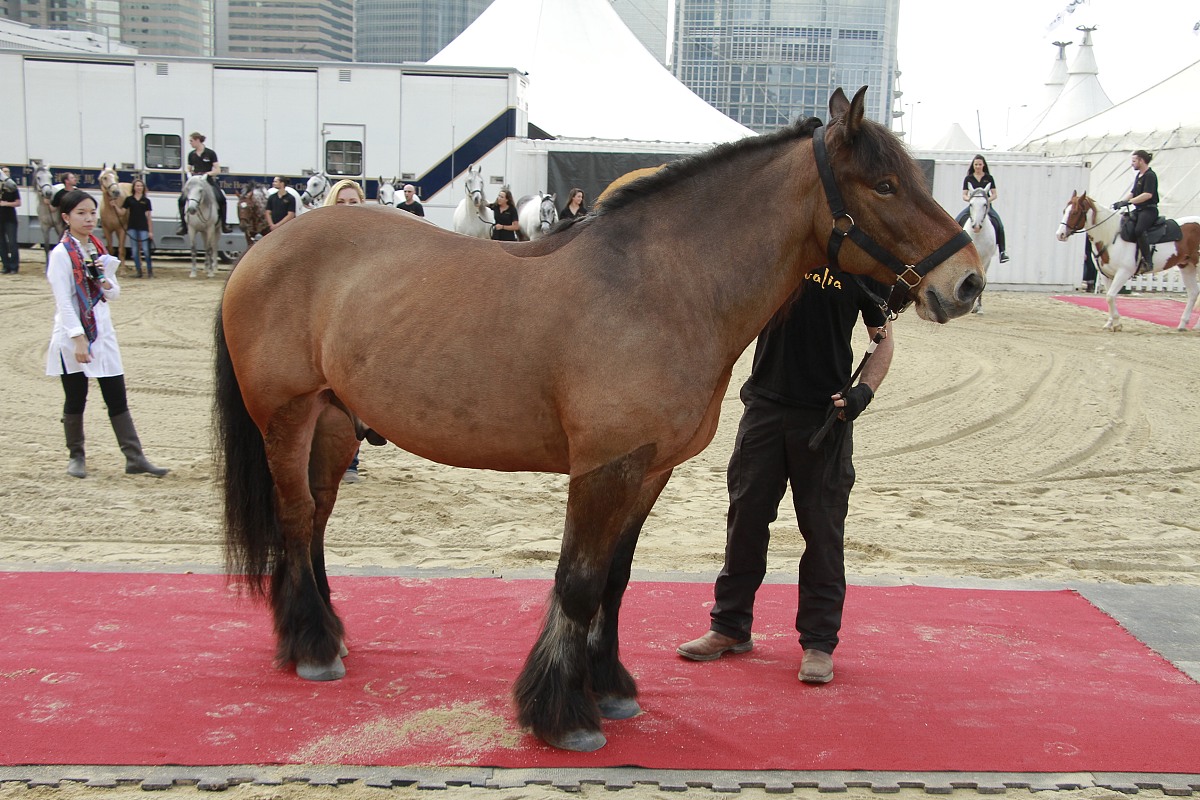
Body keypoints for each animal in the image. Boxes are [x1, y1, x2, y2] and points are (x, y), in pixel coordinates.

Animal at [213, 87, 984, 753]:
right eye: (883, 186)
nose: (969, 281)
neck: (661, 287)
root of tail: (264, 248)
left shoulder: (649, 469)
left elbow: (614, 577)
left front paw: (609, 687)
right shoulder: (604, 468)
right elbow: (579, 581)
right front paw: (563, 715)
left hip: (335, 422)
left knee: (316, 517)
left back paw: (326, 630)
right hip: (287, 417)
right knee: (295, 515)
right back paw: (312, 647)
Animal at [1055, 191, 1200, 331]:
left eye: (1074, 212)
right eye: (1064, 211)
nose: (1059, 235)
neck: (1110, 236)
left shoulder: (1124, 272)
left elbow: (1110, 296)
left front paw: (1117, 324)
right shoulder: (1105, 275)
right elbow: (1109, 297)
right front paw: (1110, 323)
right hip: (1187, 267)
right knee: (1193, 293)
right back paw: (1183, 325)